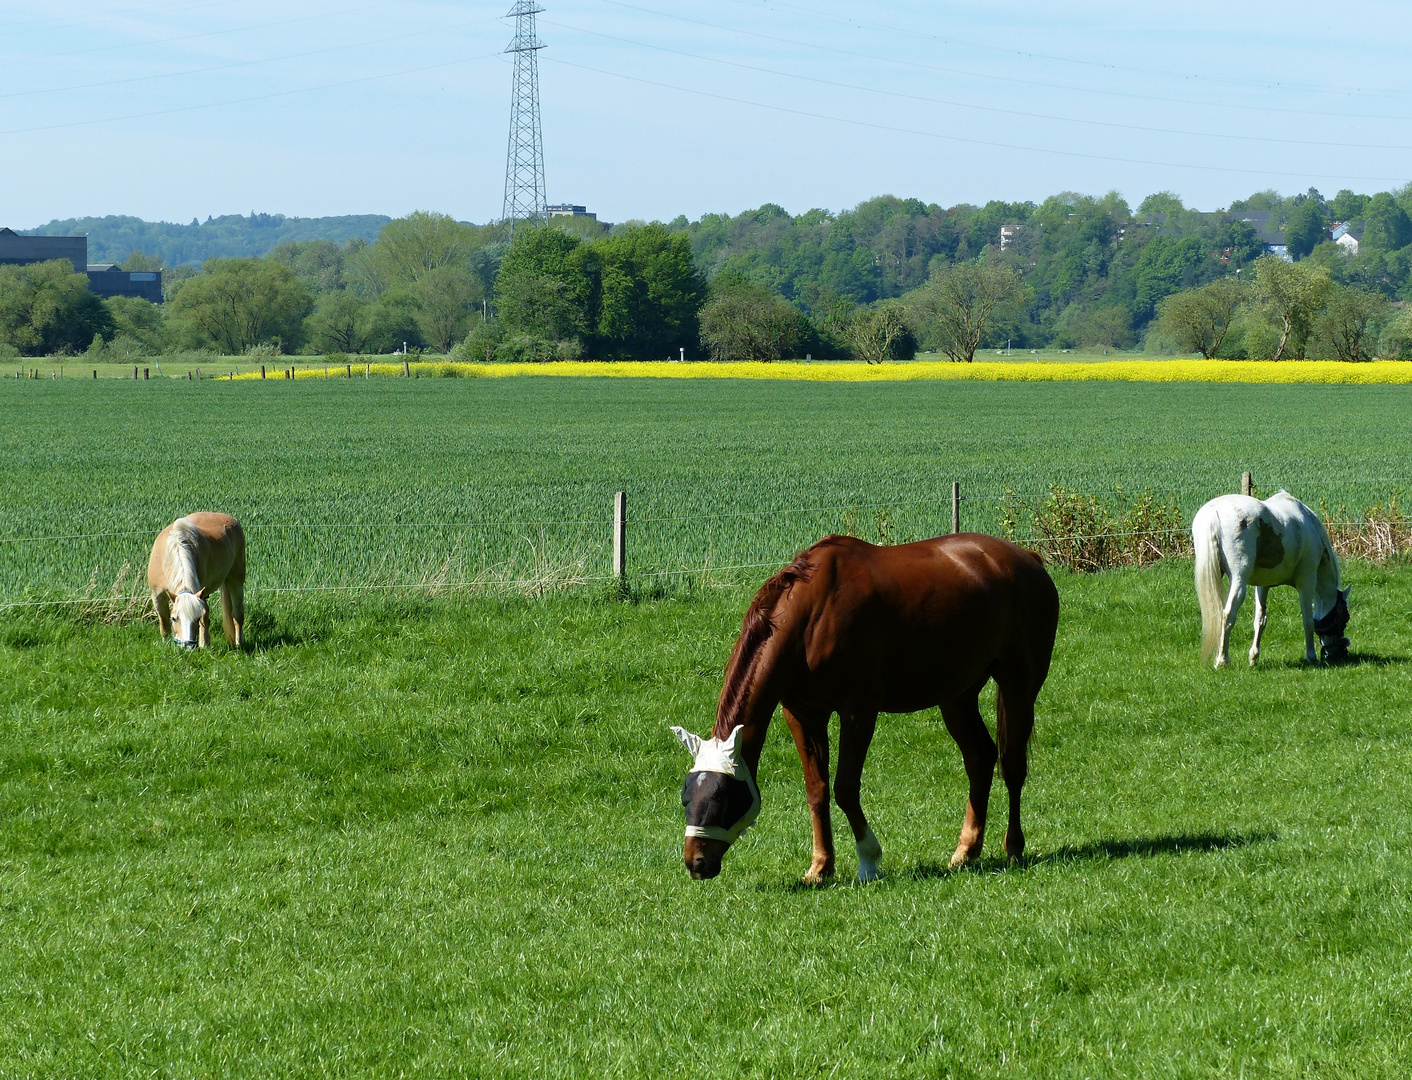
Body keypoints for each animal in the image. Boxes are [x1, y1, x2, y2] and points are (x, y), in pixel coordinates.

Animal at [147, 513, 247, 649]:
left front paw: (203, 644)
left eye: (195, 618)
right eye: (174, 618)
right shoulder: (157, 595)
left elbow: (203, 619)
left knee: (237, 615)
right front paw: (166, 644)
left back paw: (238, 643)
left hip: (236, 581)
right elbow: (163, 622)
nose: (187, 646)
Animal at [672, 528, 1061, 875]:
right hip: (957, 697)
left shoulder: (858, 712)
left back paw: (1014, 849)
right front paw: (820, 867)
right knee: (980, 758)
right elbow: (817, 790)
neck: (811, 614)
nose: (696, 863)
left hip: (1018, 686)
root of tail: (1029, 558)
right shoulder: (803, 714)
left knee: (1012, 766)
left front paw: (869, 860)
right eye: (687, 796)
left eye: (721, 796)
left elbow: (845, 788)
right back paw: (965, 851)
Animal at [1197, 488, 1349, 666]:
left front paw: (1253, 658)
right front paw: (1311, 657)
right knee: (1227, 615)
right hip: (1239, 581)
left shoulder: (1263, 586)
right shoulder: (1307, 582)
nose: (1338, 653)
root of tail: (1214, 512)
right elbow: (1308, 620)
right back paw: (1222, 660)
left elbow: (1260, 619)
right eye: (1344, 617)